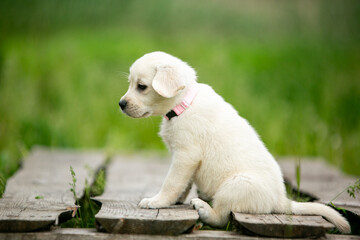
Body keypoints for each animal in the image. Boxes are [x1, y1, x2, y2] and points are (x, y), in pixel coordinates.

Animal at [119, 51, 350, 233]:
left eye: (141, 86)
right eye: (130, 84)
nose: (121, 104)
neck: (184, 104)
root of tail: (281, 201)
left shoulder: (186, 155)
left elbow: (171, 182)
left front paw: (157, 201)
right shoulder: (184, 160)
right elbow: (183, 184)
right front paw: (175, 200)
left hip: (234, 186)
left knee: (221, 217)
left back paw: (204, 209)